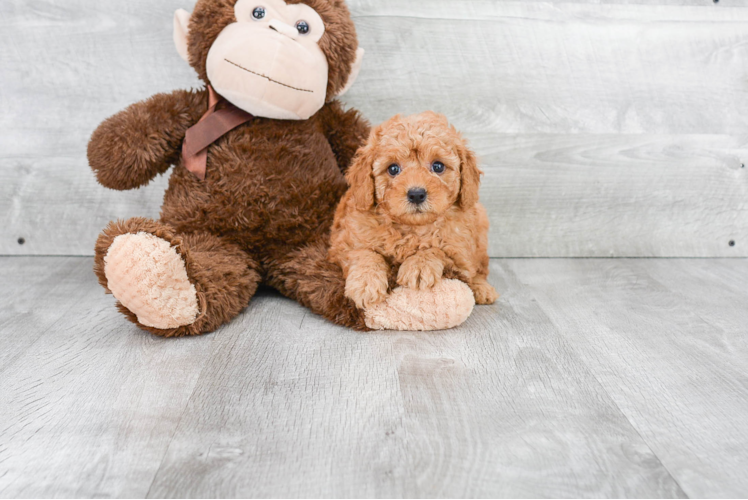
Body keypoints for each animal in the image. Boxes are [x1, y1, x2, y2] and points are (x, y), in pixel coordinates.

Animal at [330, 111, 500, 310]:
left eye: (438, 166)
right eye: (393, 169)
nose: (417, 194)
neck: (413, 229)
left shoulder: (459, 256)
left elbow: (438, 250)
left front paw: (419, 265)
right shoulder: (344, 243)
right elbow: (365, 253)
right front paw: (366, 283)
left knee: (479, 270)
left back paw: (483, 289)